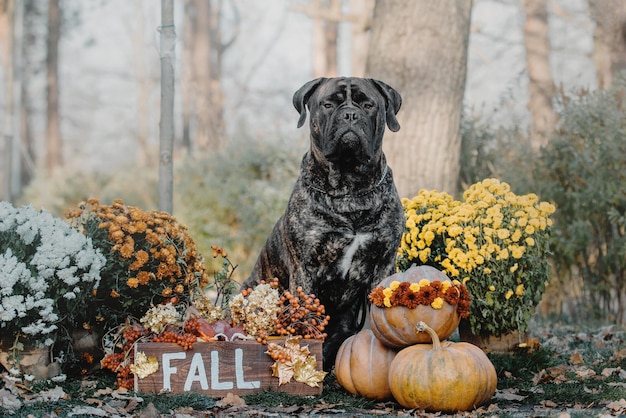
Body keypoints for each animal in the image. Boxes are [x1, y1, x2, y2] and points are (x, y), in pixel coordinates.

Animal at [241, 76, 402, 368]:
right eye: (328, 105)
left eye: (368, 104)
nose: (350, 115)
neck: (350, 191)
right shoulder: (306, 267)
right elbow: (307, 317)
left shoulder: (384, 262)